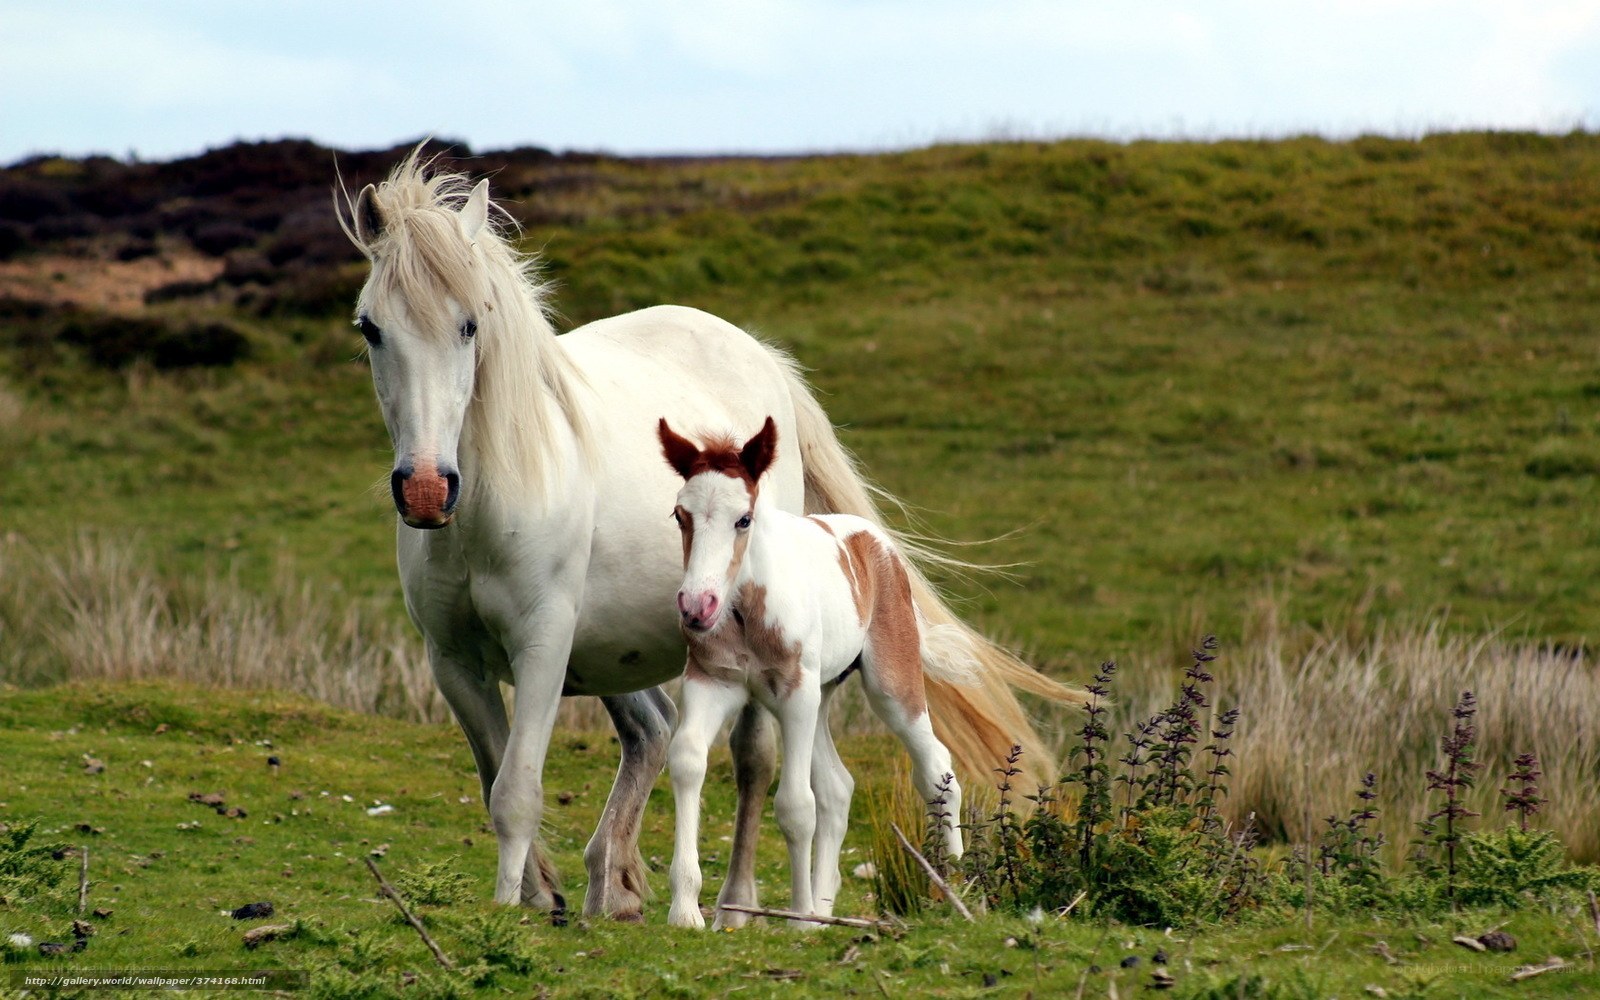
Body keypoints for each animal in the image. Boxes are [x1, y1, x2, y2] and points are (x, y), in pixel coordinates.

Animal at [658, 417, 964, 928]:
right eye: (681, 516)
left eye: (743, 519)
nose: (697, 607)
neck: (746, 611)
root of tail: (875, 541)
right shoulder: (712, 681)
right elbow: (686, 760)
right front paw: (685, 910)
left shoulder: (795, 693)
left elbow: (796, 806)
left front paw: (798, 916)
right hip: (820, 696)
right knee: (838, 788)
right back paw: (824, 908)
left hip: (887, 684)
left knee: (936, 767)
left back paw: (960, 882)